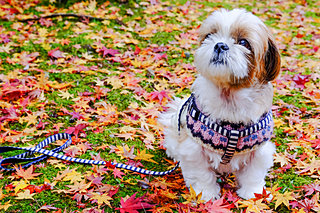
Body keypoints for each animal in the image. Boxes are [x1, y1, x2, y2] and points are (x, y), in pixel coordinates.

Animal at [159, 8, 280, 201]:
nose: (220, 45)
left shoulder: (259, 151)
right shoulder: (194, 149)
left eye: (244, 42)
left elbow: (253, 174)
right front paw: (205, 194)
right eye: (210, 35)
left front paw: (255, 194)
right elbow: (201, 174)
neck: (229, 99)